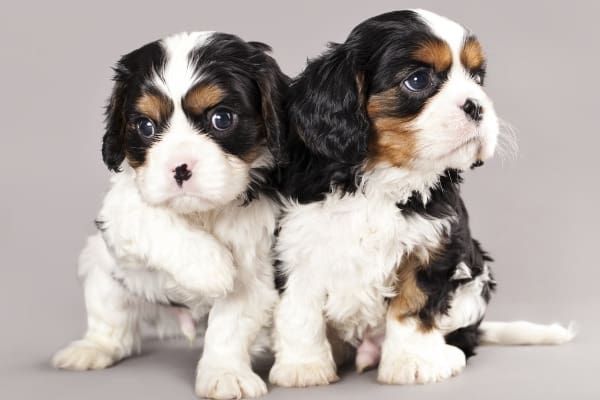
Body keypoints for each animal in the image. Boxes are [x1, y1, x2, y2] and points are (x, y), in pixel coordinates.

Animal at [52, 32, 288, 400]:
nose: (179, 168)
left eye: (222, 119)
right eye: (145, 126)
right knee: (113, 326)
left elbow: (229, 326)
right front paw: (210, 267)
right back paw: (91, 349)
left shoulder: (258, 266)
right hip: (101, 270)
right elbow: (152, 218)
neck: (203, 213)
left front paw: (224, 374)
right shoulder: (120, 209)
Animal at [270, 10, 576, 388]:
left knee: (463, 337)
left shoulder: (434, 247)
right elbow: (299, 310)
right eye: (417, 80)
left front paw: (411, 362)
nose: (477, 105)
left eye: (478, 78)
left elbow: (413, 306)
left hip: (476, 282)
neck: (381, 178)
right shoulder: (296, 243)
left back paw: (442, 354)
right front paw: (304, 367)